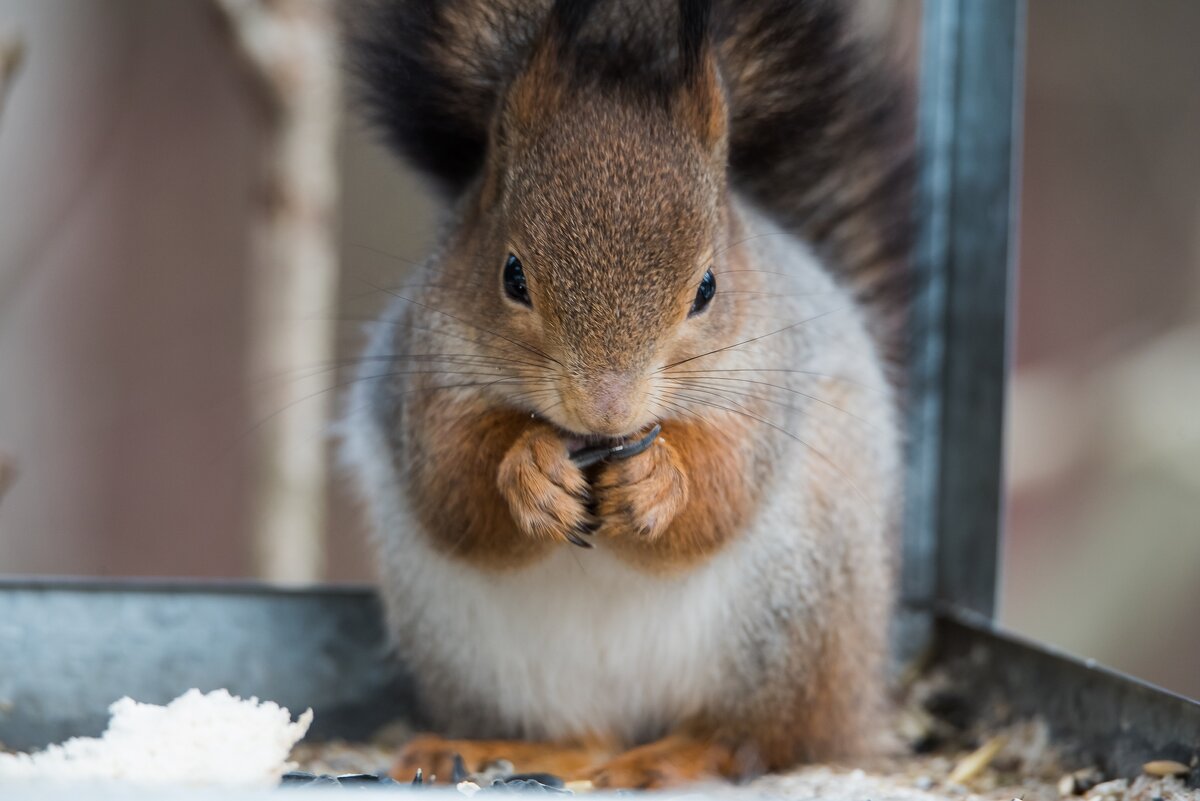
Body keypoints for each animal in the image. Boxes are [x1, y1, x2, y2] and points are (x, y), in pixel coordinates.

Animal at [343, 0, 912, 786]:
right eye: (511, 275)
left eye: (707, 288)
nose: (606, 409)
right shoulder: (424, 380)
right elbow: (451, 486)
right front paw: (531, 469)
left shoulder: (769, 388)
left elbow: (723, 488)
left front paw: (657, 481)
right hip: (483, 656)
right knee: (587, 738)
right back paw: (503, 750)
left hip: (797, 622)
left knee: (759, 737)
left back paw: (673, 756)